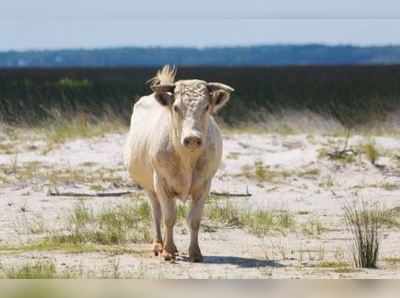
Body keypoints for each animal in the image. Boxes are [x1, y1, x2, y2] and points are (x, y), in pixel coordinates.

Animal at [123, 65, 233, 260]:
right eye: (176, 107)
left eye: (206, 106)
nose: (192, 139)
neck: (186, 159)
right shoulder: (161, 182)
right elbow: (169, 218)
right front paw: (168, 250)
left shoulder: (204, 185)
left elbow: (194, 220)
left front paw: (195, 252)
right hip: (150, 187)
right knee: (157, 213)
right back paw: (159, 245)